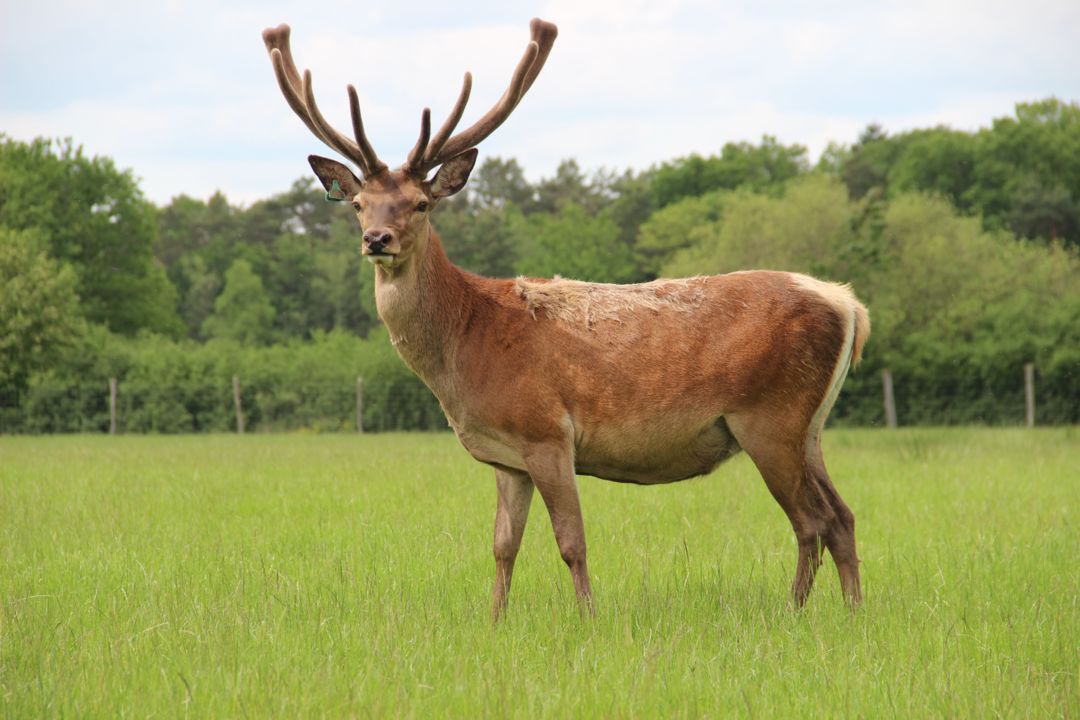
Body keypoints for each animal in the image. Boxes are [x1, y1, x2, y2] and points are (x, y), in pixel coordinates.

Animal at [262, 18, 870, 619]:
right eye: (358, 204)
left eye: (421, 203)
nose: (377, 239)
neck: (466, 347)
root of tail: (848, 305)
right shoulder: (507, 457)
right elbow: (503, 545)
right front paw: (495, 621)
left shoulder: (547, 431)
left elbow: (571, 540)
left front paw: (588, 619)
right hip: (809, 426)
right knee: (841, 515)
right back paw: (850, 612)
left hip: (770, 416)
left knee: (811, 520)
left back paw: (796, 613)